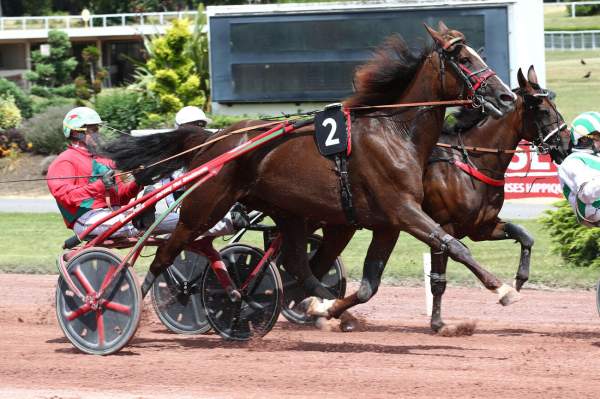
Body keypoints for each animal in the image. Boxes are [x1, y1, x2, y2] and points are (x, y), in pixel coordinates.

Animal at [103, 22, 516, 334]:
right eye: (464, 58)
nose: (506, 97)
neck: (395, 131)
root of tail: (213, 139)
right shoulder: (403, 210)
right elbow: (454, 245)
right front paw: (503, 289)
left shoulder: (387, 224)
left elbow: (369, 286)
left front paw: (329, 310)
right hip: (203, 208)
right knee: (166, 253)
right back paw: (116, 302)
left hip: (288, 212)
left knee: (297, 267)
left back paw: (292, 301)